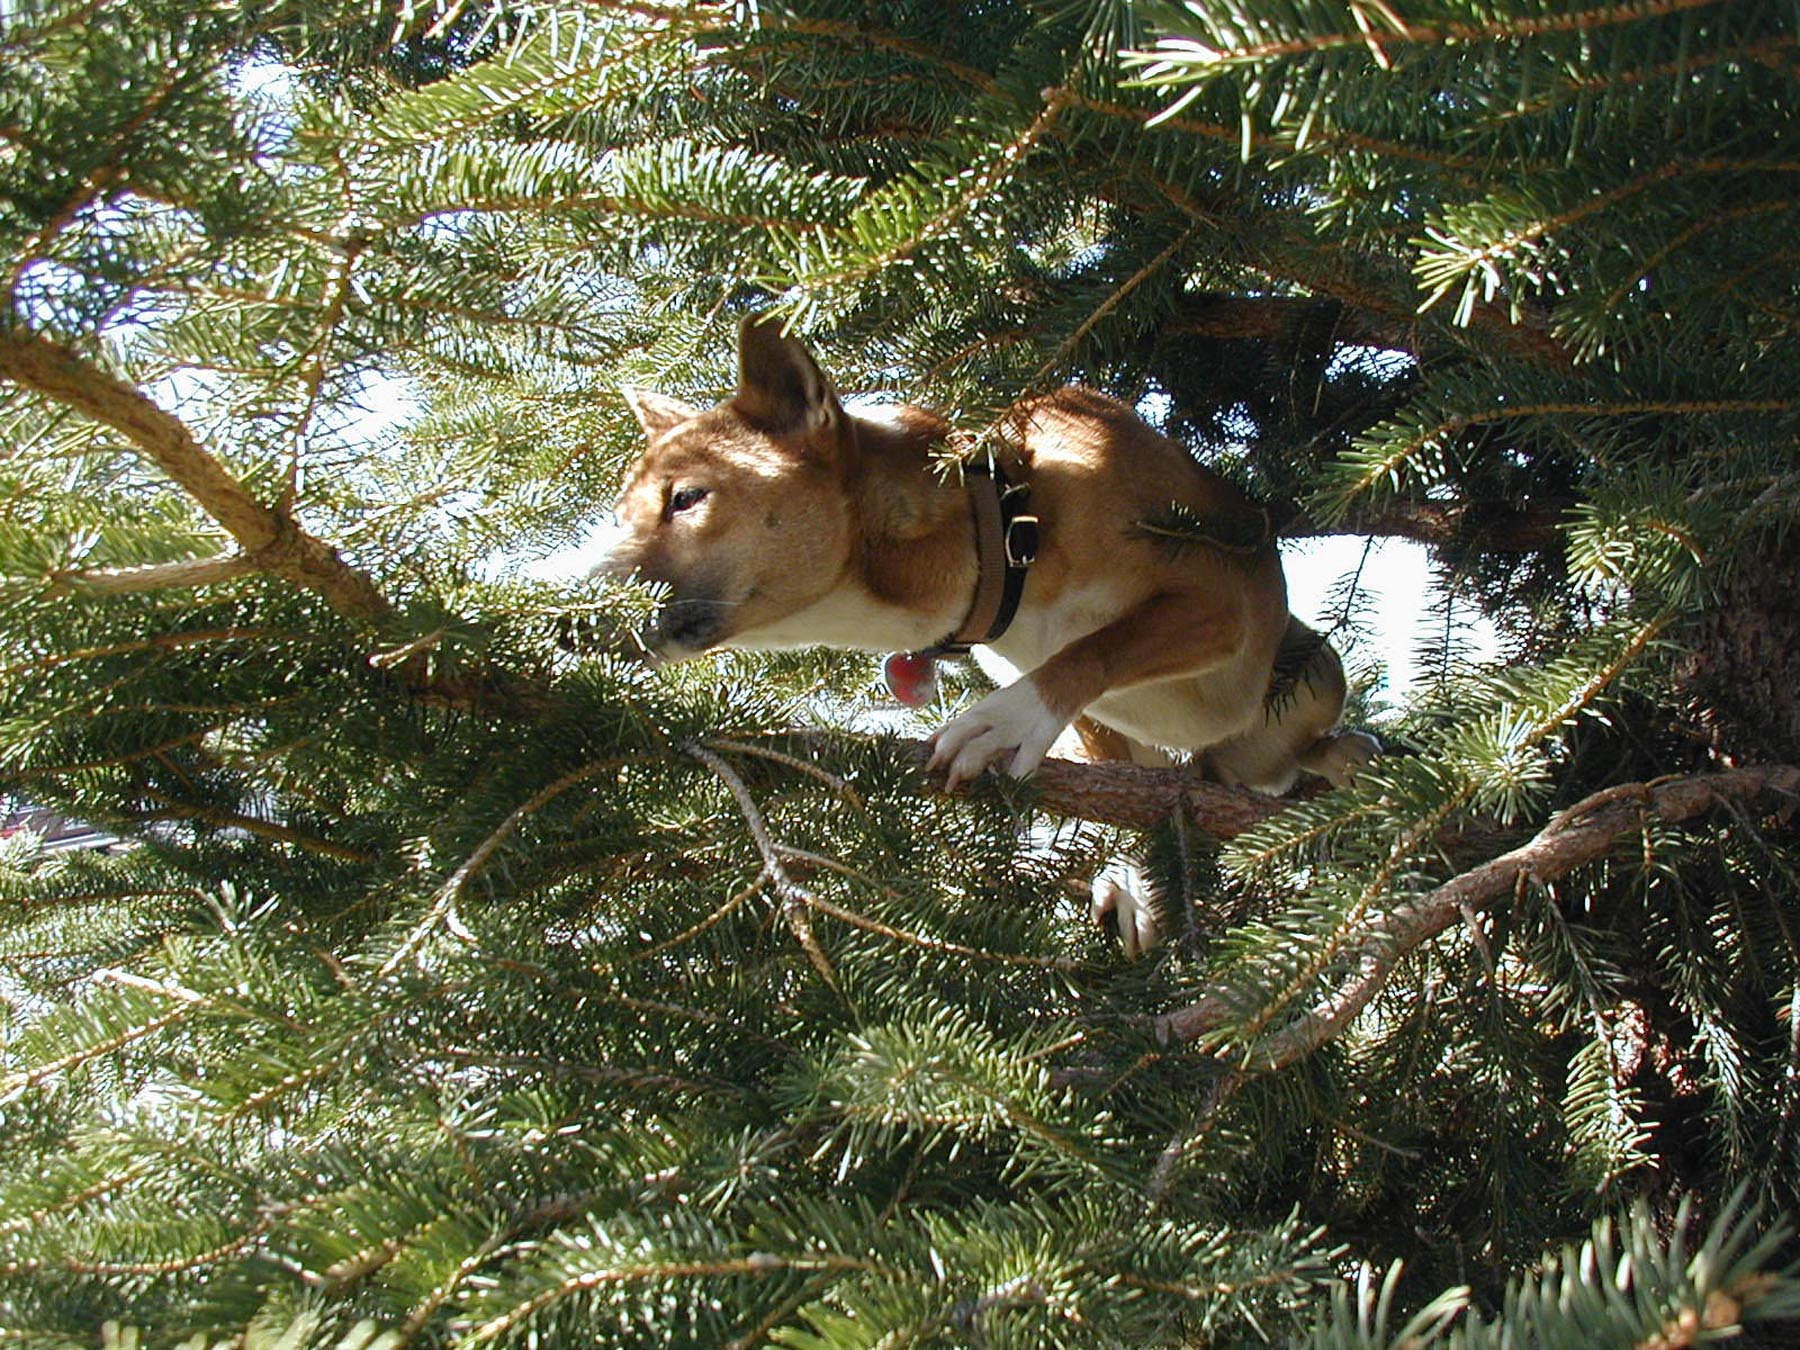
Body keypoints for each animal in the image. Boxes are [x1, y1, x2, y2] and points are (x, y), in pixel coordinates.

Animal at [597, 316, 1368, 950]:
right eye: (621, 514)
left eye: (687, 498)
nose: (578, 605)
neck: (1004, 534)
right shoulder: (1093, 709)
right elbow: (1112, 768)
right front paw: (1128, 870)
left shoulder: (1223, 597)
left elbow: (1093, 648)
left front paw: (1005, 721)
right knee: (1160, 778)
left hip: (1308, 676)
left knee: (1299, 747)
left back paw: (1344, 756)